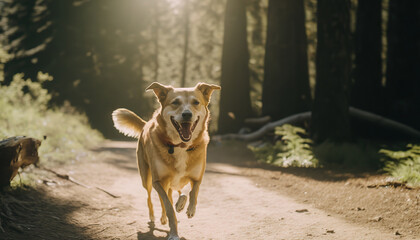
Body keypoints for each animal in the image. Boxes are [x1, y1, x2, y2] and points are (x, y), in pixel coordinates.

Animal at [111, 81, 223, 239]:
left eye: (196, 102)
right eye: (175, 102)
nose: (187, 114)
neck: (180, 146)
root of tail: (146, 124)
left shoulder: (197, 178)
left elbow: (194, 192)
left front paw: (190, 209)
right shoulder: (158, 181)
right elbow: (168, 206)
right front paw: (174, 232)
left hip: (170, 182)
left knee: (177, 193)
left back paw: (180, 203)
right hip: (147, 179)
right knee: (152, 198)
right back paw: (156, 216)